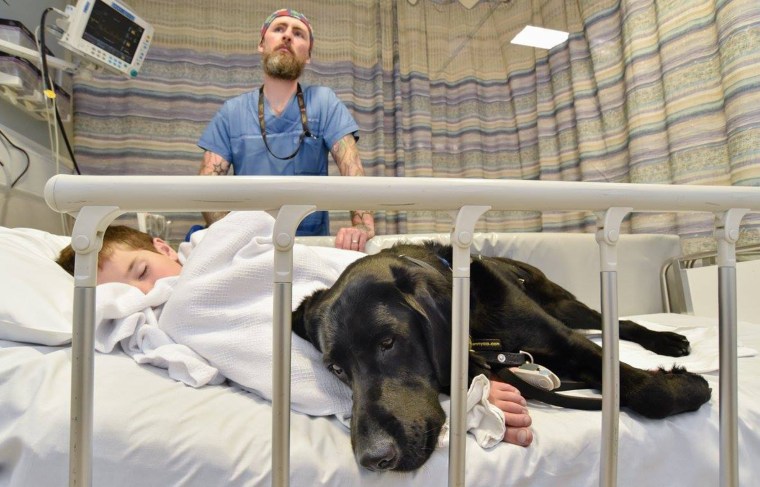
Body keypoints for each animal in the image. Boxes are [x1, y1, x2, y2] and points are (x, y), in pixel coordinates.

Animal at [292, 243, 712, 472]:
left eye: (388, 342)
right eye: (336, 368)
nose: (373, 458)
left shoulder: (568, 343)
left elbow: (644, 389)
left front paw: (690, 386)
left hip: (566, 307)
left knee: (613, 321)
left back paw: (667, 339)